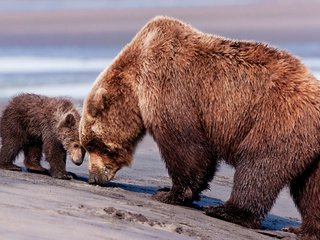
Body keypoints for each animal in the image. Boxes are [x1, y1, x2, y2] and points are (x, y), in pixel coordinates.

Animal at [79, 15, 320, 239]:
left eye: (93, 144)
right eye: (87, 145)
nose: (93, 177)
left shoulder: (171, 88)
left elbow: (186, 147)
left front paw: (169, 193)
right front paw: (171, 190)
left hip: (277, 121)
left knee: (258, 166)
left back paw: (225, 211)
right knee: (310, 190)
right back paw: (302, 229)